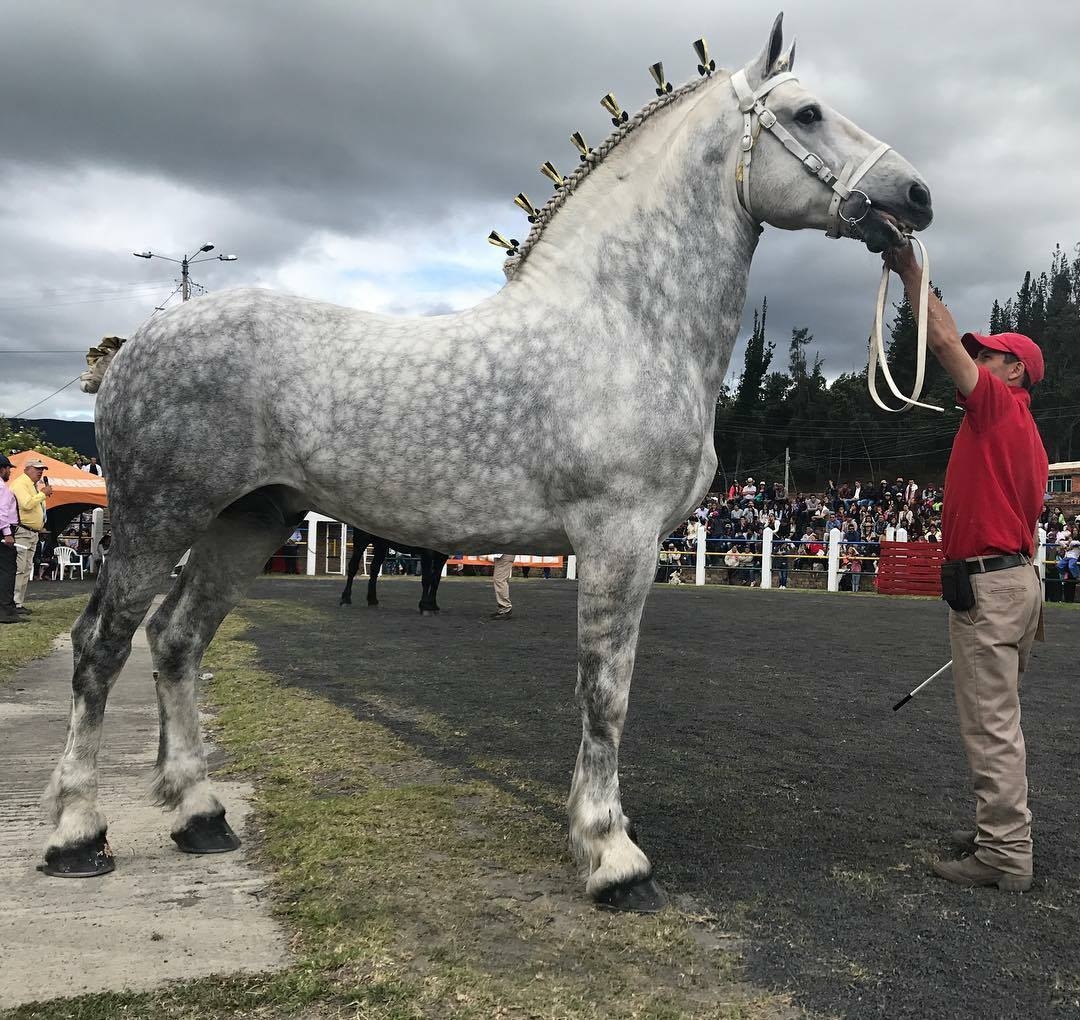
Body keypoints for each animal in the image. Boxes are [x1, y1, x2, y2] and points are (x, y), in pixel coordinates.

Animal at [46, 15, 928, 907]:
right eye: (809, 113)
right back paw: (77, 833)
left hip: (247, 523)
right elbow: (606, 692)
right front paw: (611, 856)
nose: (918, 195)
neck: (624, 324)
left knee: (177, 641)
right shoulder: (620, 539)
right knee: (101, 647)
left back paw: (201, 816)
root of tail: (133, 348)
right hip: (158, 521)